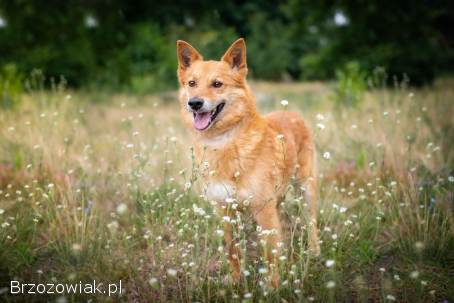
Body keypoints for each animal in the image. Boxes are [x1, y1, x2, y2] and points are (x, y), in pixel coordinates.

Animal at [176, 38, 320, 288]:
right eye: (192, 83)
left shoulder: (263, 209)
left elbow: (270, 254)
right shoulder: (225, 210)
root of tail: (291, 112)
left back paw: (314, 251)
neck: (224, 142)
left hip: (305, 189)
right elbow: (232, 250)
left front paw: (273, 287)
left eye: (217, 84)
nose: (194, 103)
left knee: (311, 222)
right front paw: (235, 280)